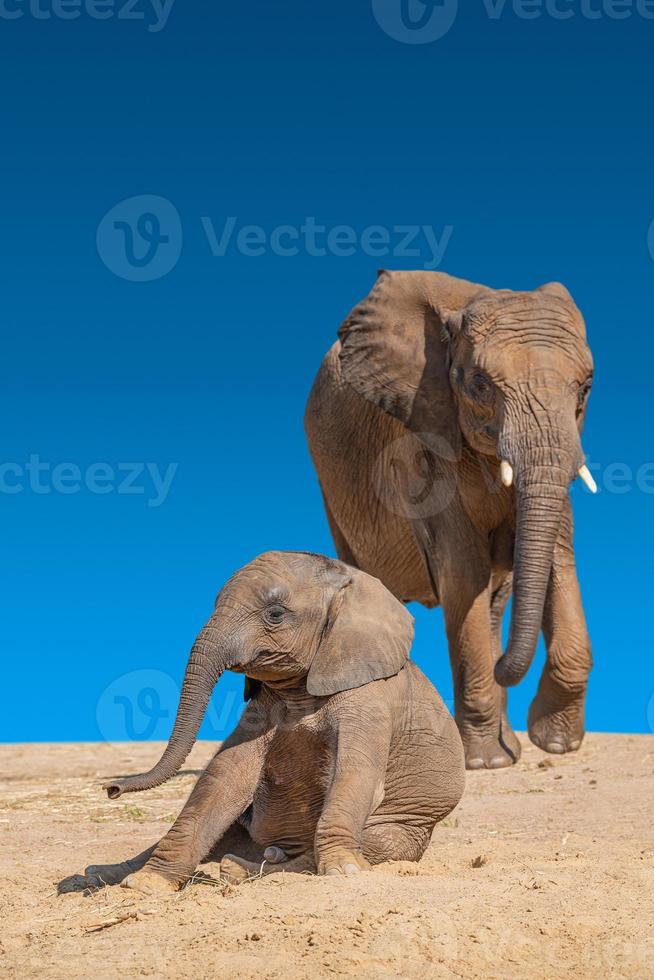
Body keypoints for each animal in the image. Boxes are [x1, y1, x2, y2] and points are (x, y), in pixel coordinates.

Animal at [68, 548, 466, 892]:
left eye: (275, 614)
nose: (111, 788)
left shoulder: (373, 695)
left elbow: (354, 770)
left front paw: (344, 872)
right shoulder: (261, 708)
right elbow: (226, 774)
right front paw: (146, 885)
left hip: (406, 829)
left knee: (377, 843)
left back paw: (240, 869)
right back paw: (98, 875)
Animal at [304, 272, 596, 768]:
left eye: (585, 390)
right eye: (479, 385)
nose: (502, 668)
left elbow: (558, 555)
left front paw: (554, 744)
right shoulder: (422, 435)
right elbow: (463, 569)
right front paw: (482, 763)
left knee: (495, 602)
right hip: (333, 490)